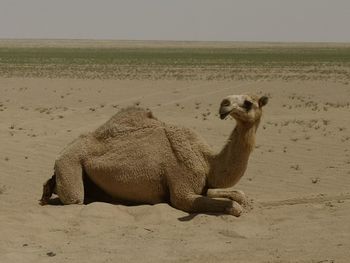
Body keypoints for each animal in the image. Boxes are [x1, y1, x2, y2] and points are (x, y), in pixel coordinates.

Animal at [41, 95, 270, 217]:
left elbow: (239, 195)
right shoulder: (182, 190)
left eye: (248, 102)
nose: (224, 104)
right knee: (74, 197)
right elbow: (234, 207)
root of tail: (62, 152)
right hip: (70, 162)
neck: (207, 161)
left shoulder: (204, 186)